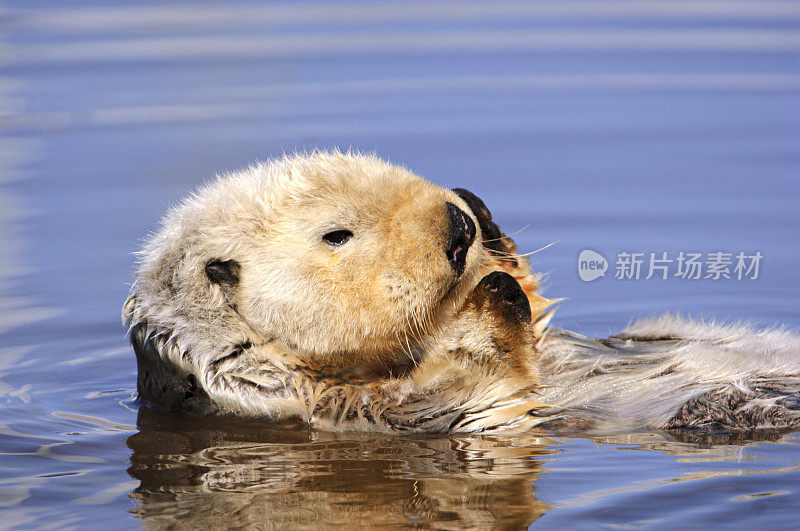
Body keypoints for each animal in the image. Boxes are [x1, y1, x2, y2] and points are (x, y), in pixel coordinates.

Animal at [125, 152, 800, 434]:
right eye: (337, 234)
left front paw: (487, 229)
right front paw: (489, 297)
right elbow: (484, 393)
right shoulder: (340, 406)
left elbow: (539, 319)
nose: (458, 227)